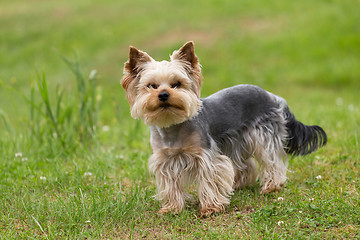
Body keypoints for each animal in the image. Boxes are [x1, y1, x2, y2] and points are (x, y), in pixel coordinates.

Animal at [120, 41, 326, 216]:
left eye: (176, 84)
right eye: (151, 86)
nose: (163, 94)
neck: (173, 125)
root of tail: (273, 96)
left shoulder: (206, 157)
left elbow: (210, 179)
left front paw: (210, 208)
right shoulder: (165, 161)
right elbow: (171, 185)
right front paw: (172, 208)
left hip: (263, 135)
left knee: (273, 160)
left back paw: (272, 186)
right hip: (238, 141)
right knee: (246, 165)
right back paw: (239, 184)